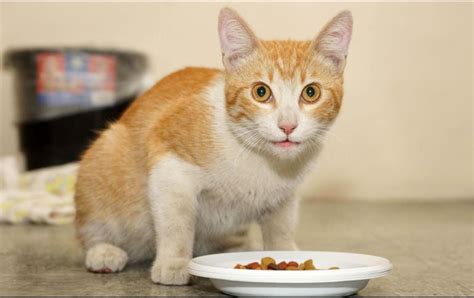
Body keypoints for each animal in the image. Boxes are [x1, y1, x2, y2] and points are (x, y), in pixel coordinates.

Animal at [74, 8, 352, 286]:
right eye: (261, 92)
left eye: (311, 93)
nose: (287, 126)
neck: (260, 157)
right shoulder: (168, 164)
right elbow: (176, 223)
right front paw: (174, 263)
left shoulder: (285, 195)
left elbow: (281, 227)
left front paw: (287, 256)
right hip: (106, 156)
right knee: (93, 228)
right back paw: (103, 251)